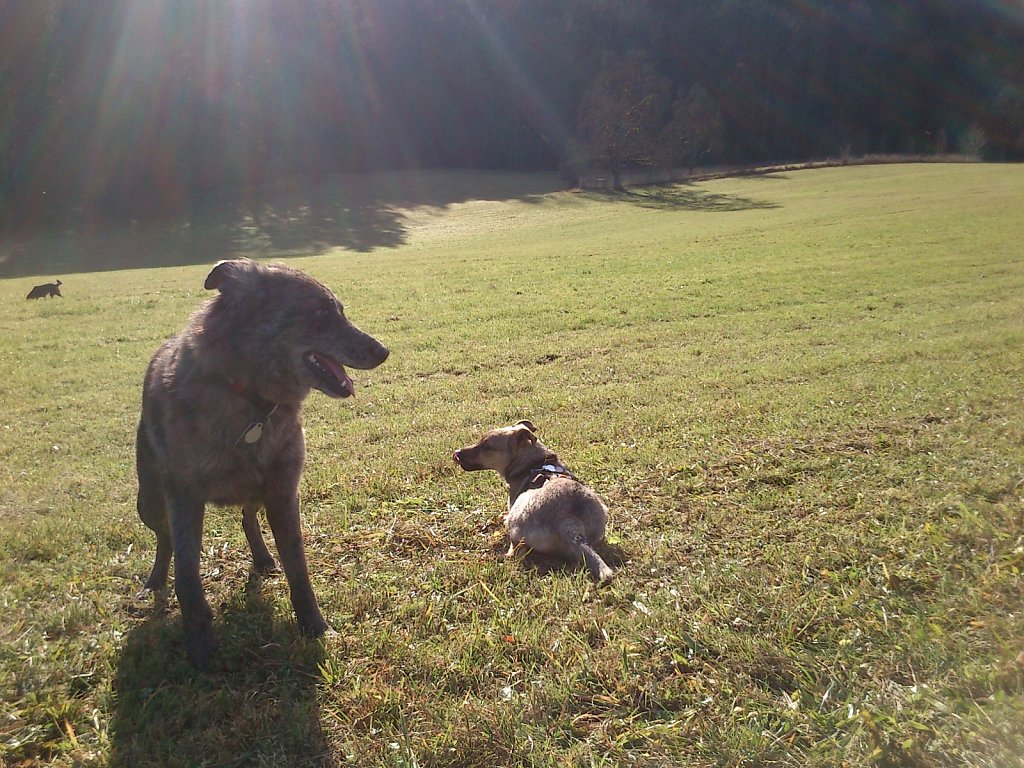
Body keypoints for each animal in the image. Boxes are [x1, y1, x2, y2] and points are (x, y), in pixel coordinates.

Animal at [136, 259, 387, 667]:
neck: (251, 400)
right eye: (321, 313)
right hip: (149, 503)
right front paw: (200, 647)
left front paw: (315, 627)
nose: (383, 351)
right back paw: (155, 582)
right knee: (165, 540)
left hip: (256, 493)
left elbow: (299, 570)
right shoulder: (184, 498)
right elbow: (188, 575)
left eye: (341, 310)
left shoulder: (283, 492)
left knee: (246, 518)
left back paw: (263, 557)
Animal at [452, 421, 610, 581]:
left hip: (517, 519)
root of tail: (569, 524)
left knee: (515, 553)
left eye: (486, 446)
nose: (456, 453)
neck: (532, 462)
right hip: (602, 512)